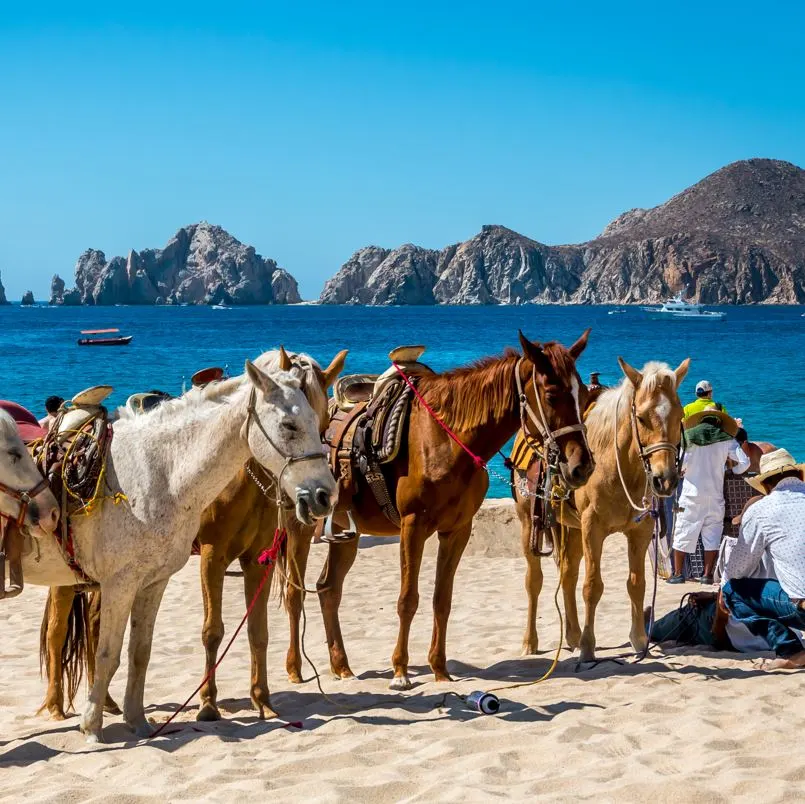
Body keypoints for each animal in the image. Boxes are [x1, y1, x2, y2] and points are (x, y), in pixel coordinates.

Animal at [1, 354, 334, 744]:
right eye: (288, 425)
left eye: (318, 419)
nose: (325, 496)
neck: (160, 474)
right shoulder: (122, 583)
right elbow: (108, 653)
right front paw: (92, 726)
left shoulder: (152, 583)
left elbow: (139, 652)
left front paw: (137, 721)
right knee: (56, 636)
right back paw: (58, 709)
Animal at [318, 332, 592, 692]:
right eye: (550, 394)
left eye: (582, 393)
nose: (581, 466)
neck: (445, 440)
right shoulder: (412, 526)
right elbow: (408, 599)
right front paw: (400, 671)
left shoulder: (457, 530)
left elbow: (442, 599)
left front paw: (439, 669)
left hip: (345, 532)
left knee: (328, 587)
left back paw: (341, 667)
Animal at [520, 356, 688, 660]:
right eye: (641, 418)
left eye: (679, 415)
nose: (665, 479)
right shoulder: (592, 528)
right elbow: (592, 586)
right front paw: (588, 647)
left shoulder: (640, 531)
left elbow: (636, 584)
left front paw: (639, 641)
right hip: (530, 523)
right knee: (534, 581)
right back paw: (531, 641)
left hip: (571, 529)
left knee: (568, 574)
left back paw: (572, 635)